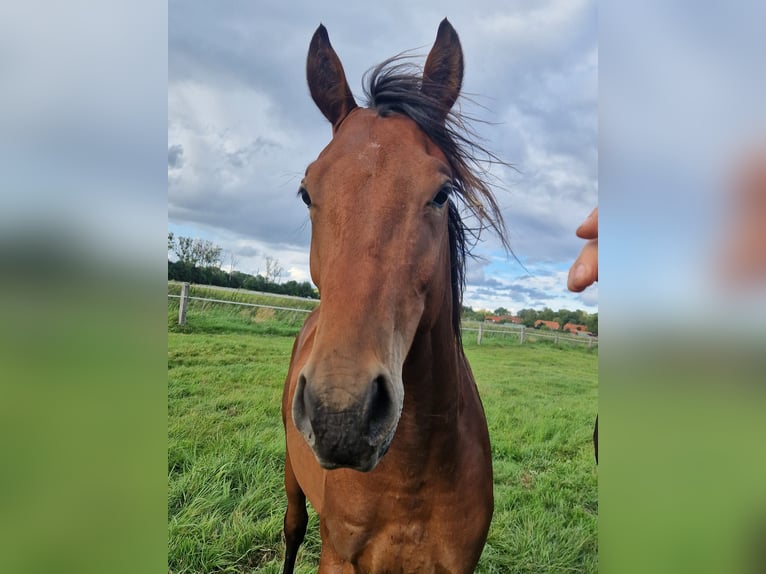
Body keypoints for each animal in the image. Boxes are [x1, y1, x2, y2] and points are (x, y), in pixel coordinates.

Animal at [281, 19, 509, 573]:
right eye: (307, 192)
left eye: (443, 193)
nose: (340, 414)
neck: (409, 478)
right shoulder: (337, 558)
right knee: (292, 529)